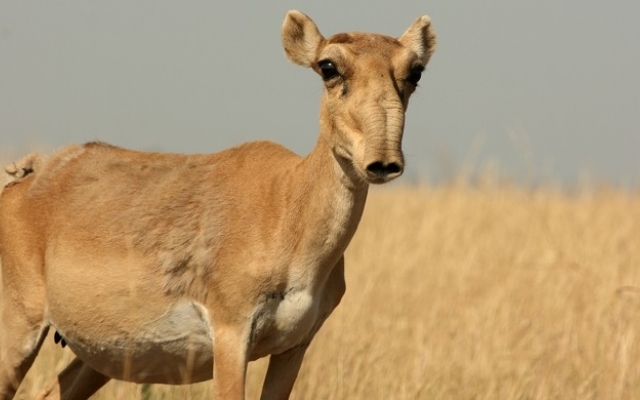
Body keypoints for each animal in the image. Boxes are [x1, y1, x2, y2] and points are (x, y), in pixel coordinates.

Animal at [0, 9, 436, 400]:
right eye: (328, 66)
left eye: (415, 71)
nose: (382, 162)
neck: (287, 203)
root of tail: (23, 183)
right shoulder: (231, 334)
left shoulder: (294, 347)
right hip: (19, 335)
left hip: (96, 358)